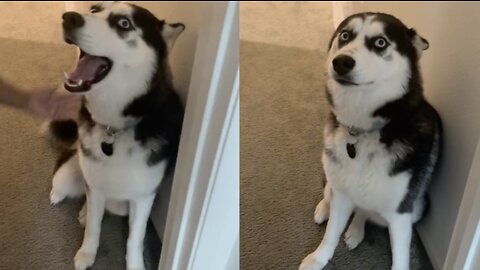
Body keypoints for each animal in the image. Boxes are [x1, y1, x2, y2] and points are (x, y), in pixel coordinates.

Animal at [48, 2, 184, 270]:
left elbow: (135, 238)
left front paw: (135, 265)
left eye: (124, 23)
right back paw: (72, 204)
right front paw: (86, 253)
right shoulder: (95, 186)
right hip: (68, 174)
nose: (68, 17)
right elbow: (93, 226)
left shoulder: (143, 197)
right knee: (69, 190)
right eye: (94, 9)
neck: (115, 127)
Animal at [300, 12, 442, 270]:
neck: (362, 130)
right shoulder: (343, 194)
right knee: (330, 191)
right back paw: (324, 208)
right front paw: (318, 258)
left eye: (380, 42)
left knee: (365, 211)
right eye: (345, 36)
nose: (341, 62)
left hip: (417, 207)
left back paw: (356, 229)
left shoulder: (401, 214)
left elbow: (400, 259)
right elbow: (330, 234)